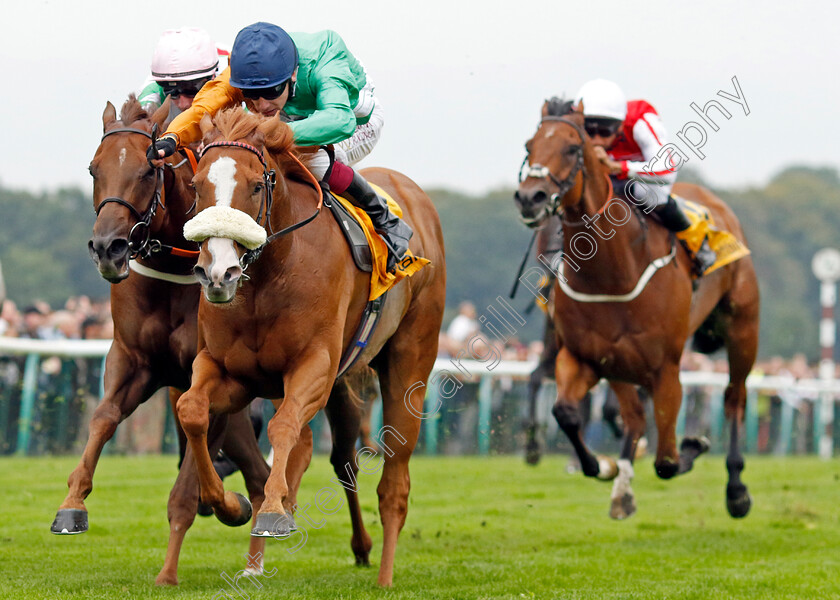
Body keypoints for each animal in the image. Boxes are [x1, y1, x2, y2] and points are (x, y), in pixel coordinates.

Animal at [49, 96, 298, 584]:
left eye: (149, 171)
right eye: (93, 168)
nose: (108, 249)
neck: (172, 272)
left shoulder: (208, 375)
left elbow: (187, 490)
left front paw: (171, 567)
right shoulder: (134, 362)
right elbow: (102, 418)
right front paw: (72, 504)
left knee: (259, 474)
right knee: (256, 473)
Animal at [176, 108, 446, 584]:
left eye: (257, 185)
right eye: (196, 185)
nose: (218, 273)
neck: (269, 276)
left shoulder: (315, 366)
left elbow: (282, 426)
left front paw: (271, 513)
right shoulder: (231, 371)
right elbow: (191, 410)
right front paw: (228, 505)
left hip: (410, 362)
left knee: (393, 480)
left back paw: (384, 576)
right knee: (332, 457)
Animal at [512, 101, 760, 516]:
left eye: (572, 148)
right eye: (529, 145)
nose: (531, 197)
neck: (614, 273)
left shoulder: (666, 369)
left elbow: (668, 461)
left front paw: (695, 444)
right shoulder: (586, 357)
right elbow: (566, 412)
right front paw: (602, 465)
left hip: (742, 328)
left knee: (734, 398)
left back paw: (737, 489)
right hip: (621, 364)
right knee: (630, 415)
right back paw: (621, 482)